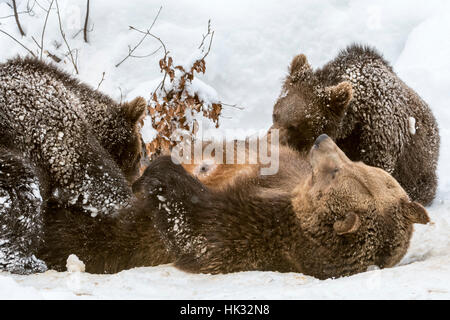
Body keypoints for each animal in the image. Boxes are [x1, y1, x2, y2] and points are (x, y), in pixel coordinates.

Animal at [133, 134, 428, 278]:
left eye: (336, 171)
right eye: (358, 163)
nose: (322, 139)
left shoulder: (253, 232)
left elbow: (194, 229)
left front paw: (160, 175)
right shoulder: (282, 178)